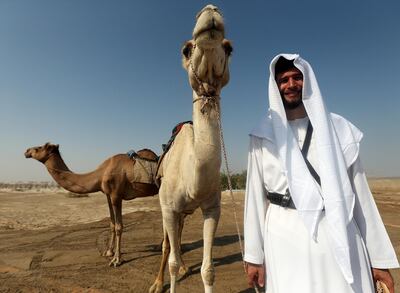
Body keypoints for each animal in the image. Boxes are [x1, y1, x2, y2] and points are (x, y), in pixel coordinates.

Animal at [23, 143, 159, 266]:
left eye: (38, 148)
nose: (26, 151)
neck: (100, 174)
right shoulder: (108, 195)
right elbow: (112, 224)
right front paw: (109, 252)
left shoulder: (116, 194)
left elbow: (119, 227)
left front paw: (116, 260)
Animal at [149, 4, 231, 292]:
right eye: (186, 49)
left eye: (230, 48)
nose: (211, 11)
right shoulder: (168, 207)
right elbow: (170, 259)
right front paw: (170, 278)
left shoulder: (212, 209)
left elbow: (209, 270)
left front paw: (195, 269)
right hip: (165, 207)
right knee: (166, 245)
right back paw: (157, 282)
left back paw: (186, 266)